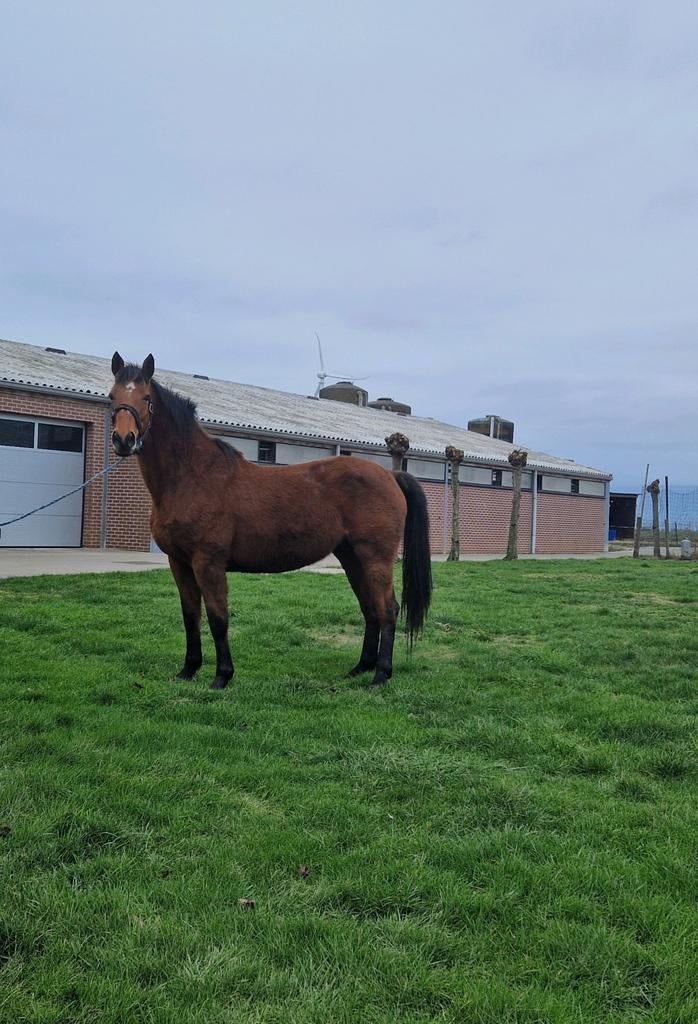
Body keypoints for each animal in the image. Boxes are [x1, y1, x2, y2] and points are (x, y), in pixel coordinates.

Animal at [109, 352, 432, 689]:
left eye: (146, 398)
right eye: (112, 397)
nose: (124, 440)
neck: (193, 477)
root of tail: (390, 475)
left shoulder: (208, 563)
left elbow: (218, 618)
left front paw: (222, 676)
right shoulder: (179, 563)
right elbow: (190, 617)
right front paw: (188, 670)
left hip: (375, 558)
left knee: (388, 609)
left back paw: (381, 674)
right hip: (352, 558)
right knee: (370, 609)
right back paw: (361, 668)